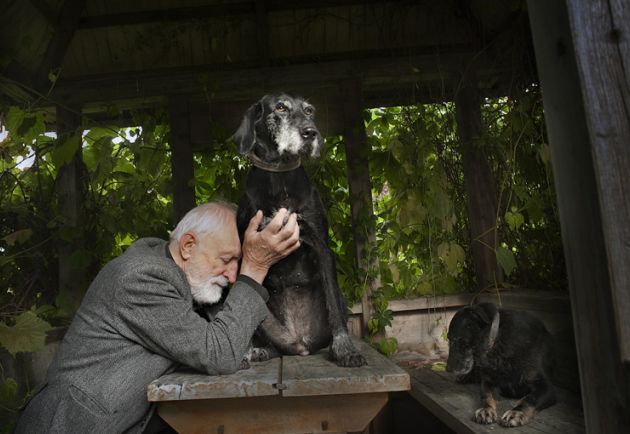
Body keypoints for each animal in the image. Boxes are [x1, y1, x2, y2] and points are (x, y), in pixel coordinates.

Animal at [235, 93, 368, 368]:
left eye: (309, 111)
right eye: (280, 107)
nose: (311, 132)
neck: (280, 180)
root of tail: (300, 342)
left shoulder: (321, 245)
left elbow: (334, 308)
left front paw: (345, 350)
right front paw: (244, 352)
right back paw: (259, 351)